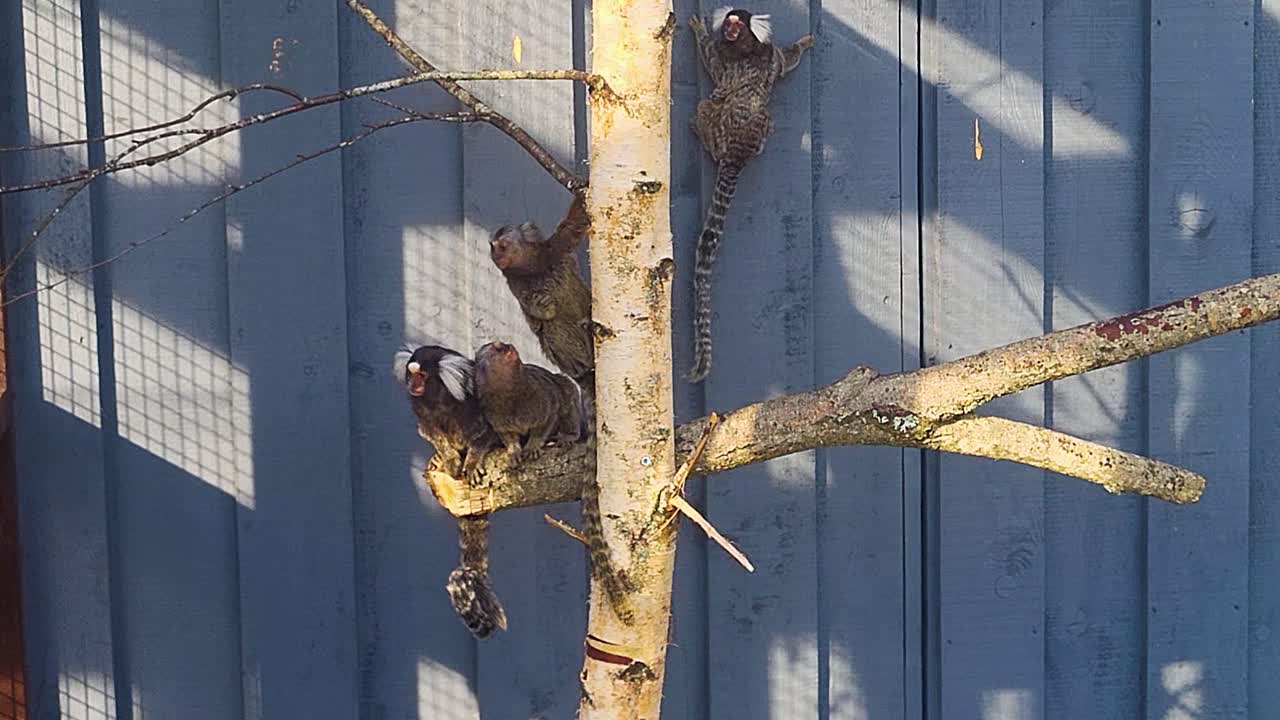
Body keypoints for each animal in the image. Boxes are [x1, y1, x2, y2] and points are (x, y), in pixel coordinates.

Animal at [393, 345, 507, 639]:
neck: (441, 403)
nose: (413, 385)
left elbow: (484, 436)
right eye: (411, 373)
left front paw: (473, 460)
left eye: (422, 375)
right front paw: (449, 459)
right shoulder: (425, 418)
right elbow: (433, 436)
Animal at [488, 193, 594, 382]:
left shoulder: (557, 246)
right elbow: (536, 318)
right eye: (493, 248)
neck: (533, 267)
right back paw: (582, 367)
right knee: (553, 326)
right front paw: (541, 305)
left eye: (503, 247)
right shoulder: (515, 284)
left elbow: (574, 224)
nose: (497, 255)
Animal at [686, 7, 813, 382]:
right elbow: (785, 62)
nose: (728, 30)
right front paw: (804, 43)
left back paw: (697, 127)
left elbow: (715, 66)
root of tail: (737, 154)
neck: (745, 45)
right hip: (763, 133)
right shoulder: (770, 57)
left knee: (707, 105)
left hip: (718, 130)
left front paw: (699, 32)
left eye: (734, 25)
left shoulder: (729, 58)